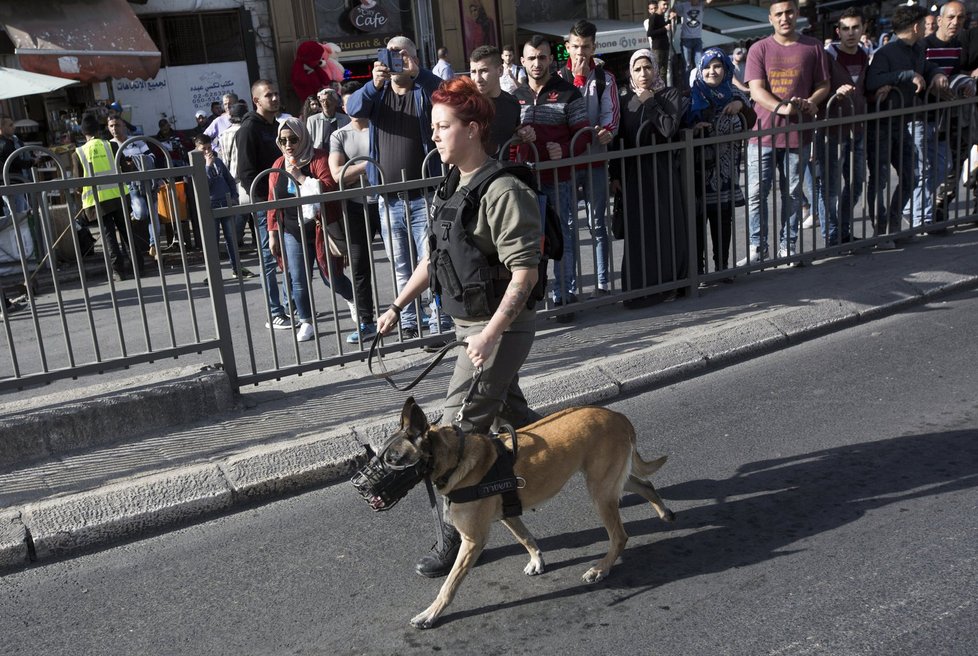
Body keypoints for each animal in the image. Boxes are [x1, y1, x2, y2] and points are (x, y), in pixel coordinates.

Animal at [386, 398, 676, 628]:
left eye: (392, 459)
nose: (374, 495)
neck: (456, 458)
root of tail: (618, 416)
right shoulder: (508, 514)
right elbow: (525, 537)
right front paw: (537, 559)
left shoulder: (472, 541)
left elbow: (449, 584)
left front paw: (431, 613)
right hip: (608, 481)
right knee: (645, 484)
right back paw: (664, 512)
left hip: (600, 491)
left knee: (619, 536)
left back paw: (601, 568)